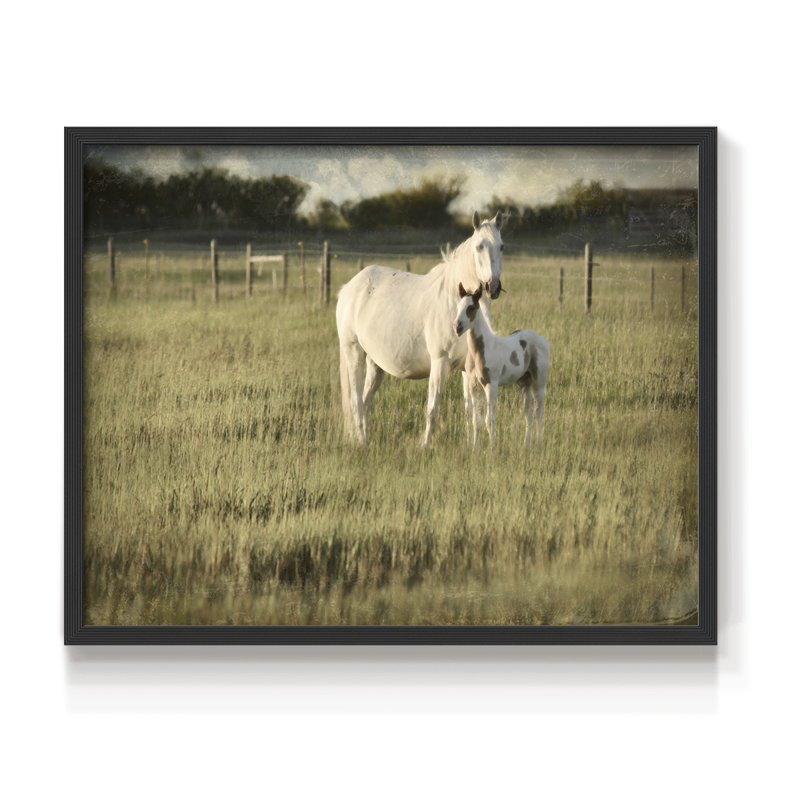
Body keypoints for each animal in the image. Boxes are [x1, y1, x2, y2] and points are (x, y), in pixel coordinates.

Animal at [336, 211, 504, 446]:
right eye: (479, 246)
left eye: (501, 246)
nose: (493, 287)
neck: (454, 302)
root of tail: (348, 288)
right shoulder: (439, 362)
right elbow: (432, 408)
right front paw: (425, 445)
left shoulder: (467, 368)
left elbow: (471, 411)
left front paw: (471, 445)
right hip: (353, 352)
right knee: (355, 401)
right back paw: (361, 441)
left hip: (375, 363)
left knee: (366, 399)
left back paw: (366, 439)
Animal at [454, 282, 550, 450]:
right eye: (458, 306)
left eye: (471, 308)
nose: (457, 327)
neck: (480, 351)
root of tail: (542, 339)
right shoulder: (474, 386)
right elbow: (476, 421)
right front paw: (475, 449)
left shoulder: (491, 385)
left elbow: (489, 420)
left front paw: (492, 450)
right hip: (524, 384)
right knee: (528, 412)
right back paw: (526, 446)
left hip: (539, 382)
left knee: (539, 412)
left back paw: (538, 445)